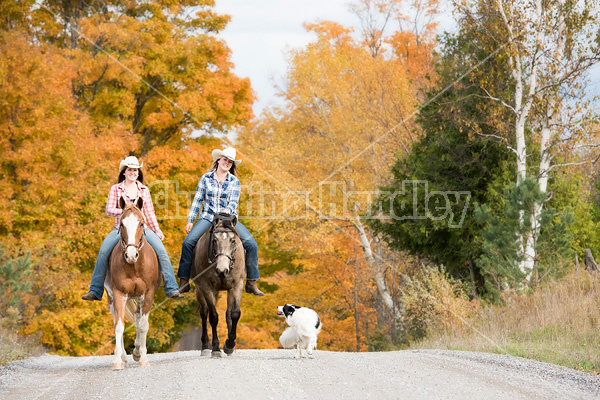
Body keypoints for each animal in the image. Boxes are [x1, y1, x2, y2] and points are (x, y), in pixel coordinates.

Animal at [105, 196, 161, 368]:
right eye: (122, 224)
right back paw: (123, 356)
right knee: (118, 320)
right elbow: (119, 326)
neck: (134, 266)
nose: (131, 255)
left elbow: (143, 325)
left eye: (142, 223)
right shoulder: (118, 294)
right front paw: (118, 361)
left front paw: (142, 358)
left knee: (138, 318)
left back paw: (136, 351)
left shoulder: (148, 294)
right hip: (111, 298)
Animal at [191, 214, 245, 358]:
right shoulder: (206, 287)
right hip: (200, 290)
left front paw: (230, 345)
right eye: (214, 240)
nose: (222, 270)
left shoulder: (236, 285)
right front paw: (215, 348)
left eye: (233, 240)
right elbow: (213, 317)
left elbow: (234, 314)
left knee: (228, 314)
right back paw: (205, 347)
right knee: (204, 313)